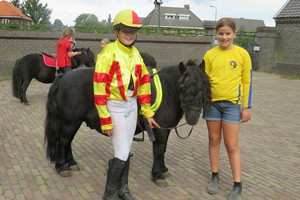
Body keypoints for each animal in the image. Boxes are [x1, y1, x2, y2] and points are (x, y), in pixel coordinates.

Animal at [44, 52, 211, 186]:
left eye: (204, 85)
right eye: (182, 86)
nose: (193, 116)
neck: (167, 89)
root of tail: (64, 77)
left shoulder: (165, 130)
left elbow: (163, 149)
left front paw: (163, 169)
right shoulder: (159, 131)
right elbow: (158, 151)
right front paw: (158, 175)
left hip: (74, 122)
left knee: (68, 142)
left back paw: (71, 163)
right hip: (69, 121)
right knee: (63, 141)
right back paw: (62, 166)